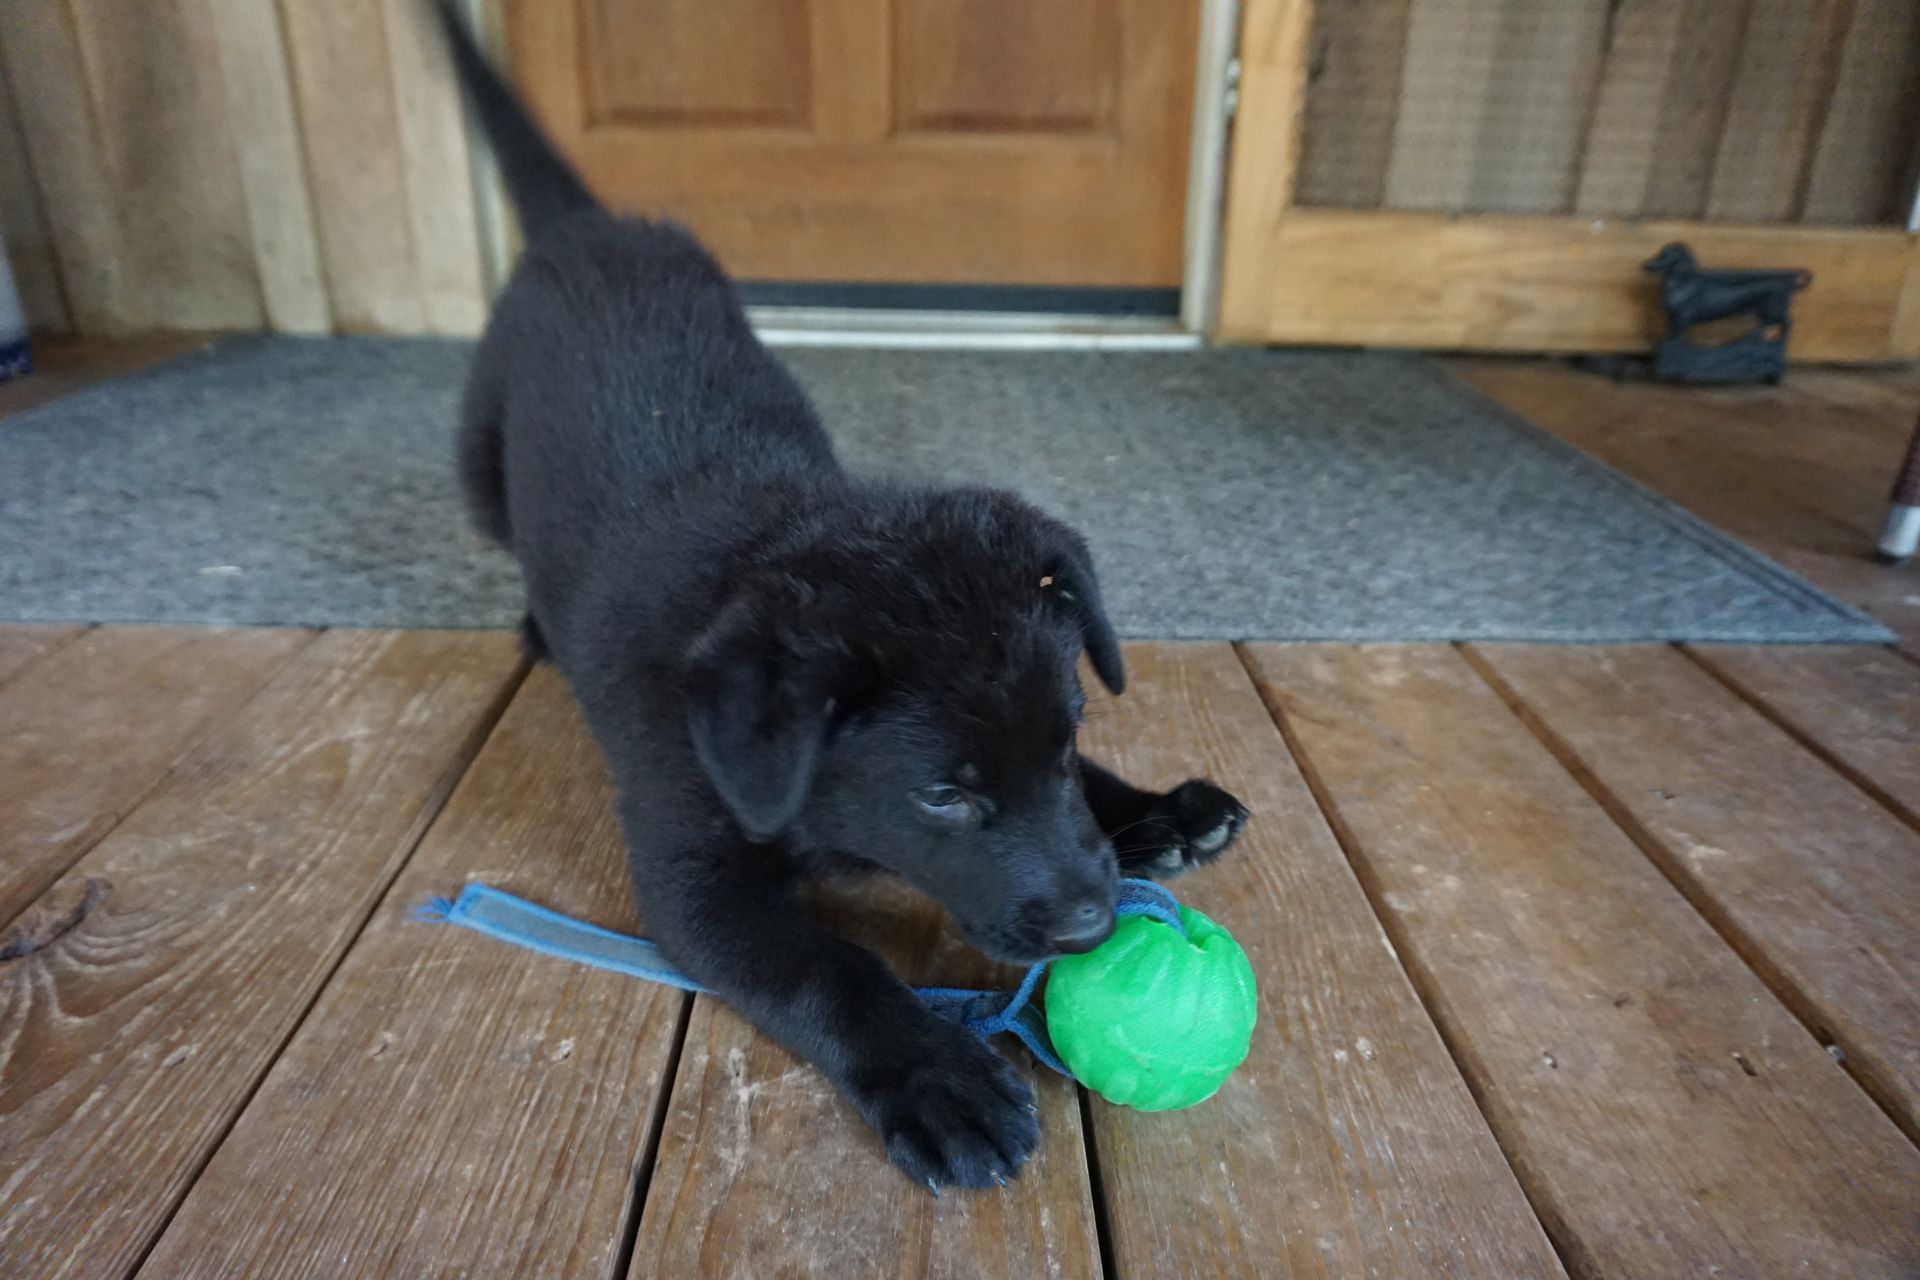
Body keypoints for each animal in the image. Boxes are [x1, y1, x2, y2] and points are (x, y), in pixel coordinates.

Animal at [432, 12, 1244, 1189]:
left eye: (1066, 744)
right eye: (942, 798)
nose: (1092, 924)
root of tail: (593, 227)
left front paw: (1155, 810)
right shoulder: (693, 878)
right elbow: (832, 967)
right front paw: (938, 1078)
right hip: (483, 459)